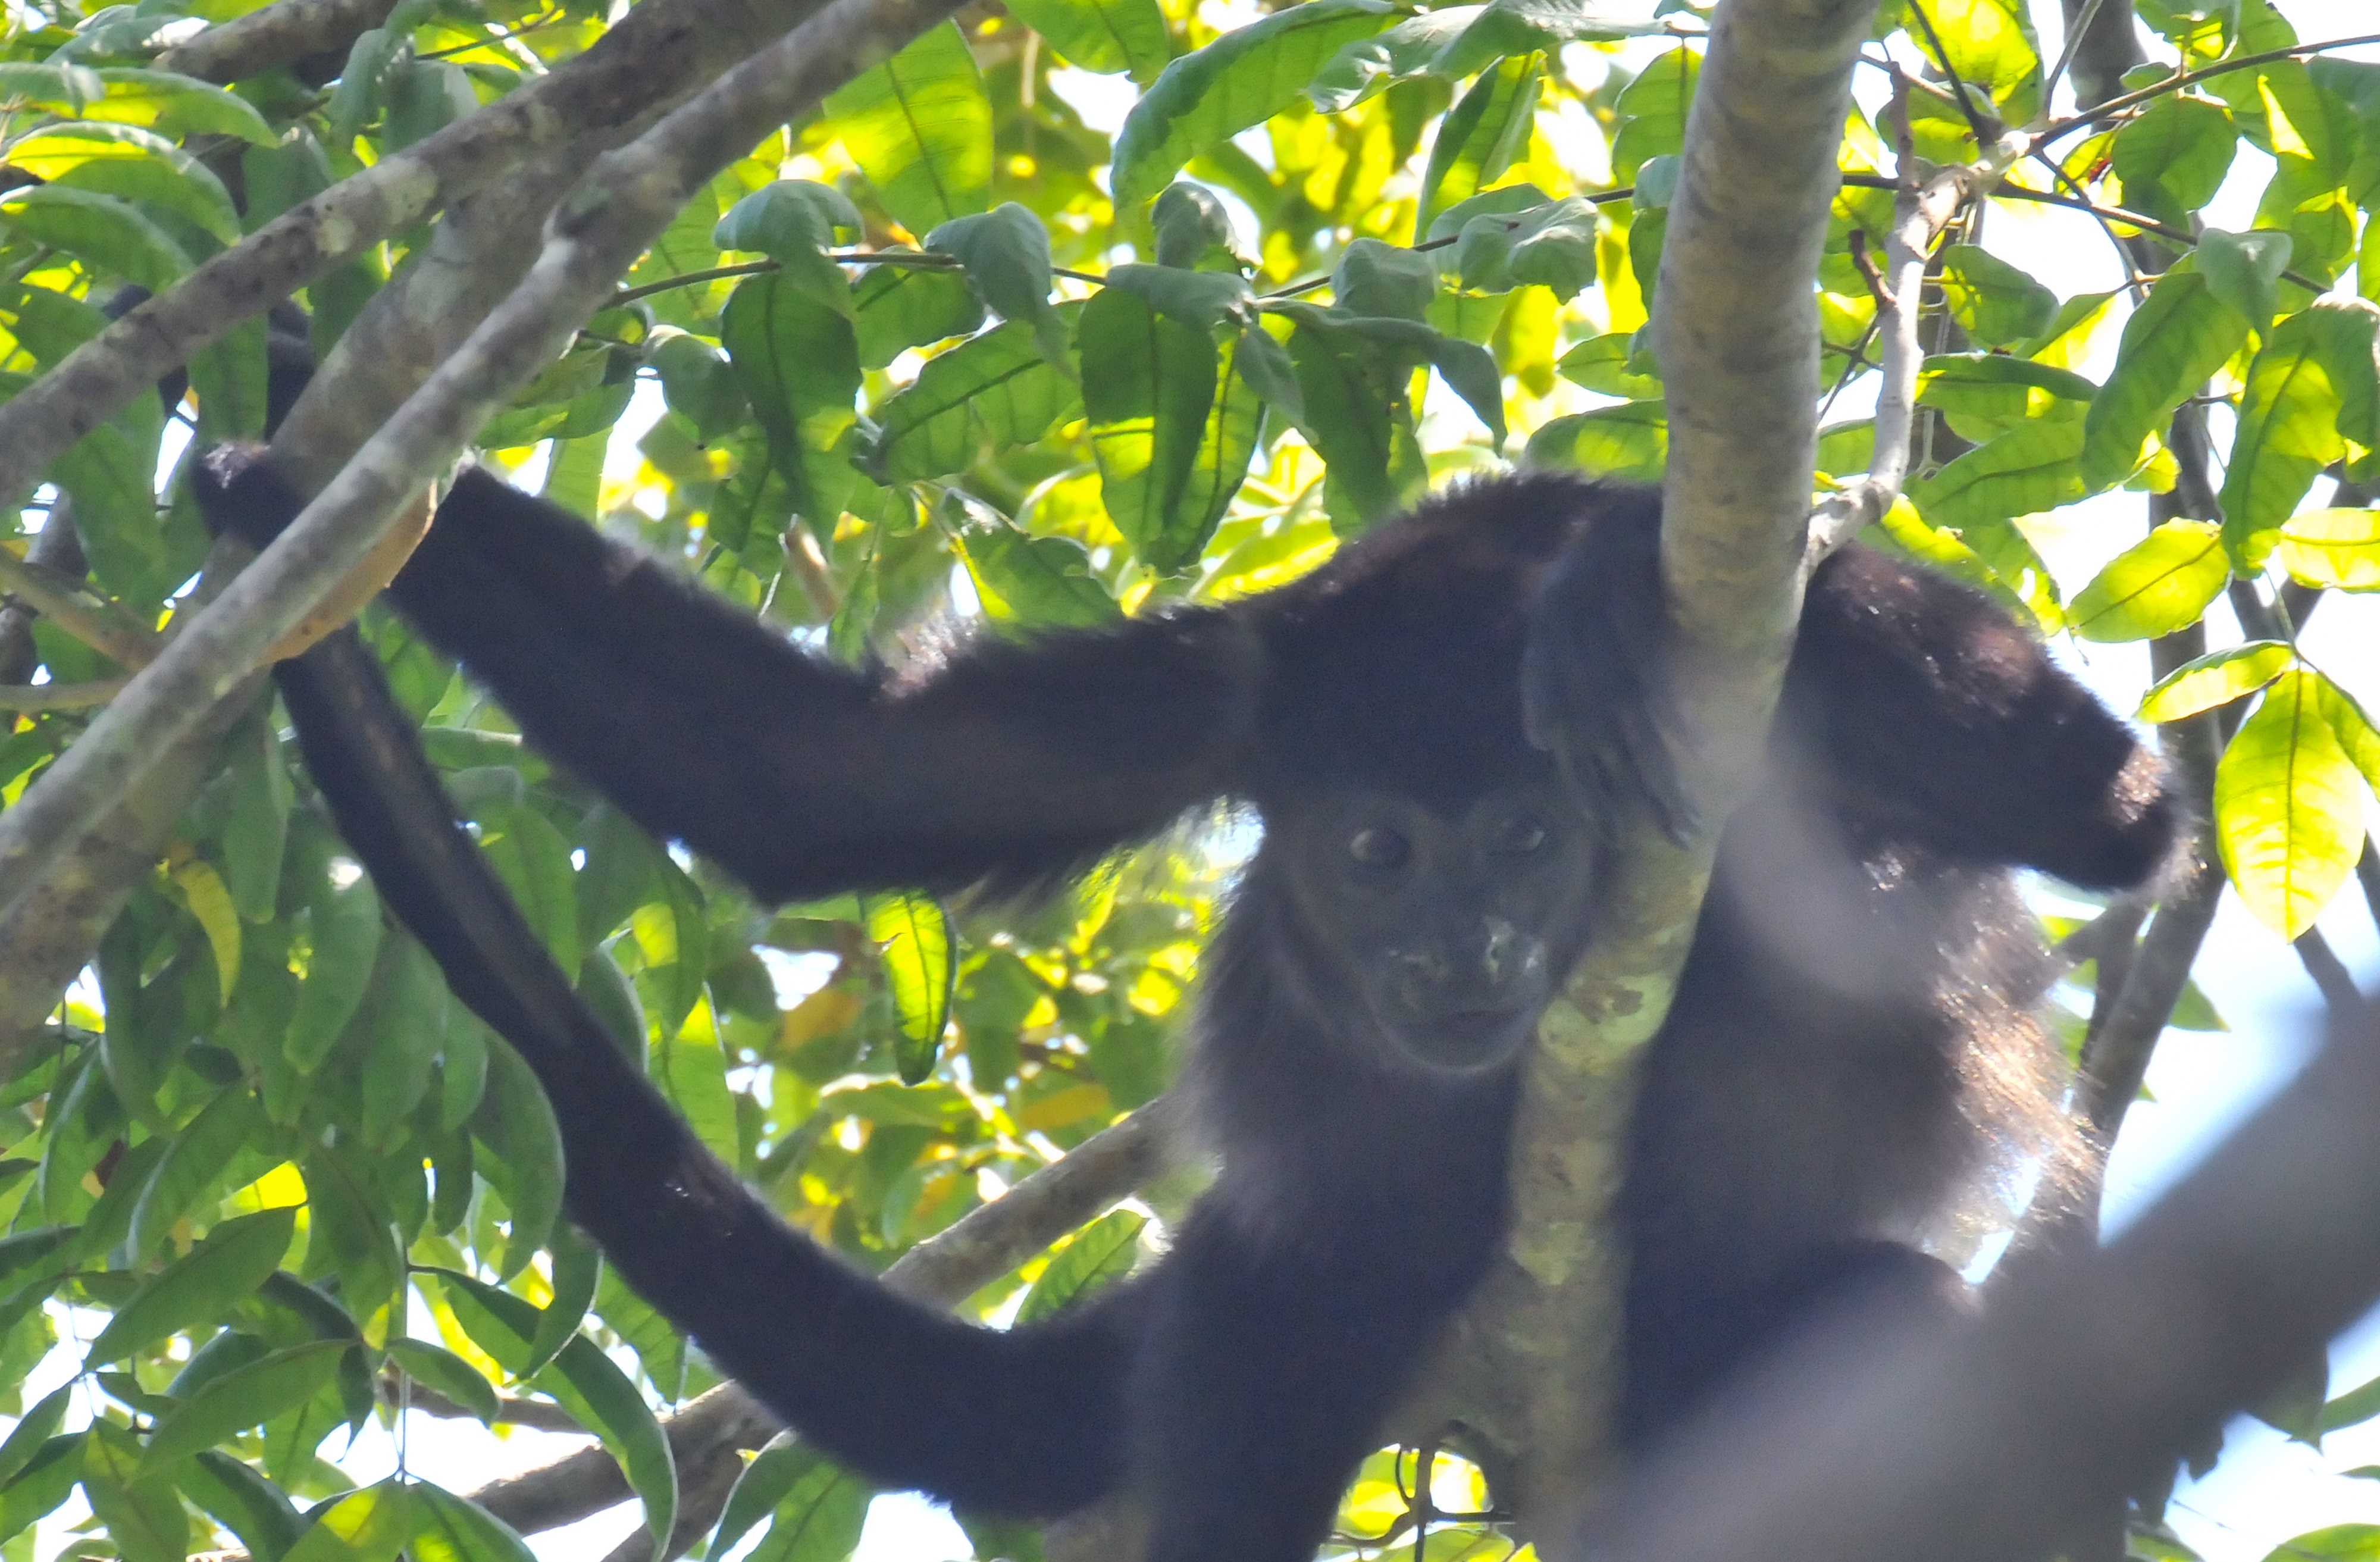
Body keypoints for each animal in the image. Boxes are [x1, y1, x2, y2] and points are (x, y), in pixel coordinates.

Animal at [195, 447, 2180, 1562]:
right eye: (1379, 850)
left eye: (1531, 841)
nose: (1464, 959)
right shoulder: (1232, 682)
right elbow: (811, 775)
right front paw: (277, 442)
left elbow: (2112, 809)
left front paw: (1615, 573)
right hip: (1310, 1295)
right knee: (1261, 1347)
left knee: (1890, 1322)